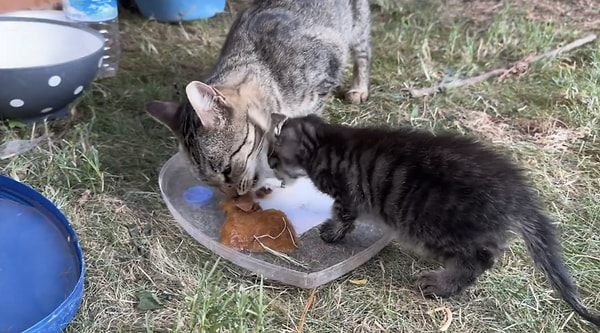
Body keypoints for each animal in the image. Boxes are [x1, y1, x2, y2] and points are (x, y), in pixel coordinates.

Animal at [145, 0, 370, 197]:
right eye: (207, 182)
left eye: (227, 170)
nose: (232, 195)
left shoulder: (327, 73)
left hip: (357, 24)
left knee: (363, 52)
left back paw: (359, 87)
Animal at [268, 113, 600, 326]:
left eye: (273, 155)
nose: (270, 166)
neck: (327, 141)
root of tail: (516, 195)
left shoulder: (346, 194)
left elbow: (342, 214)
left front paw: (332, 232)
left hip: (435, 228)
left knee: (479, 260)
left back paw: (440, 284)